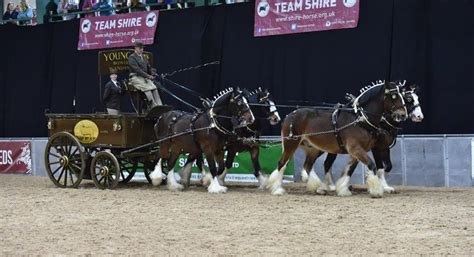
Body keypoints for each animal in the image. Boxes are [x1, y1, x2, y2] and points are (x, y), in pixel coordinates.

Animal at [266, 81, 408, 197]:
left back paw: (318, 188)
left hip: (313, 149)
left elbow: (349, 170)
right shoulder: (356, 149)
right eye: (394, 96)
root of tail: (290, 115)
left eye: (403, 96)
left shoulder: (357, 152)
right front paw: (376, 191)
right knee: (282, 163)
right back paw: (277, 189)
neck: (360, 120)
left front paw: (343, 190)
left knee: (307, 165)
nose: (403, 114)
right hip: (291, 144)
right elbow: (372, 165)